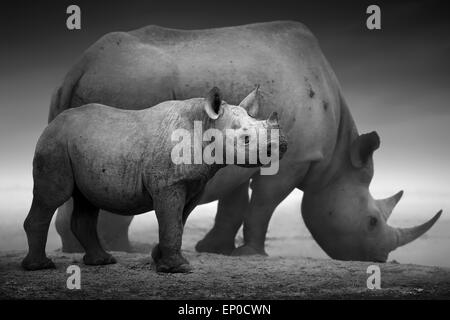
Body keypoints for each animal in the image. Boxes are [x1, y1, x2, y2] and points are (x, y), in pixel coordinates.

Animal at [21, 87, 286, 272]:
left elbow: (178, 222)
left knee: (85, 201)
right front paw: (179, 268)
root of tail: (53, 122)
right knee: (53, 196)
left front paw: (159, 260)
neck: (206, 123)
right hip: (55, 143)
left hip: (78, 145)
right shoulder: (169, 184)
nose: (281, 145)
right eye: (246, 139)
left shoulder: (194, 185)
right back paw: (40, 267)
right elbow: (171, 221)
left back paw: (103, 261)